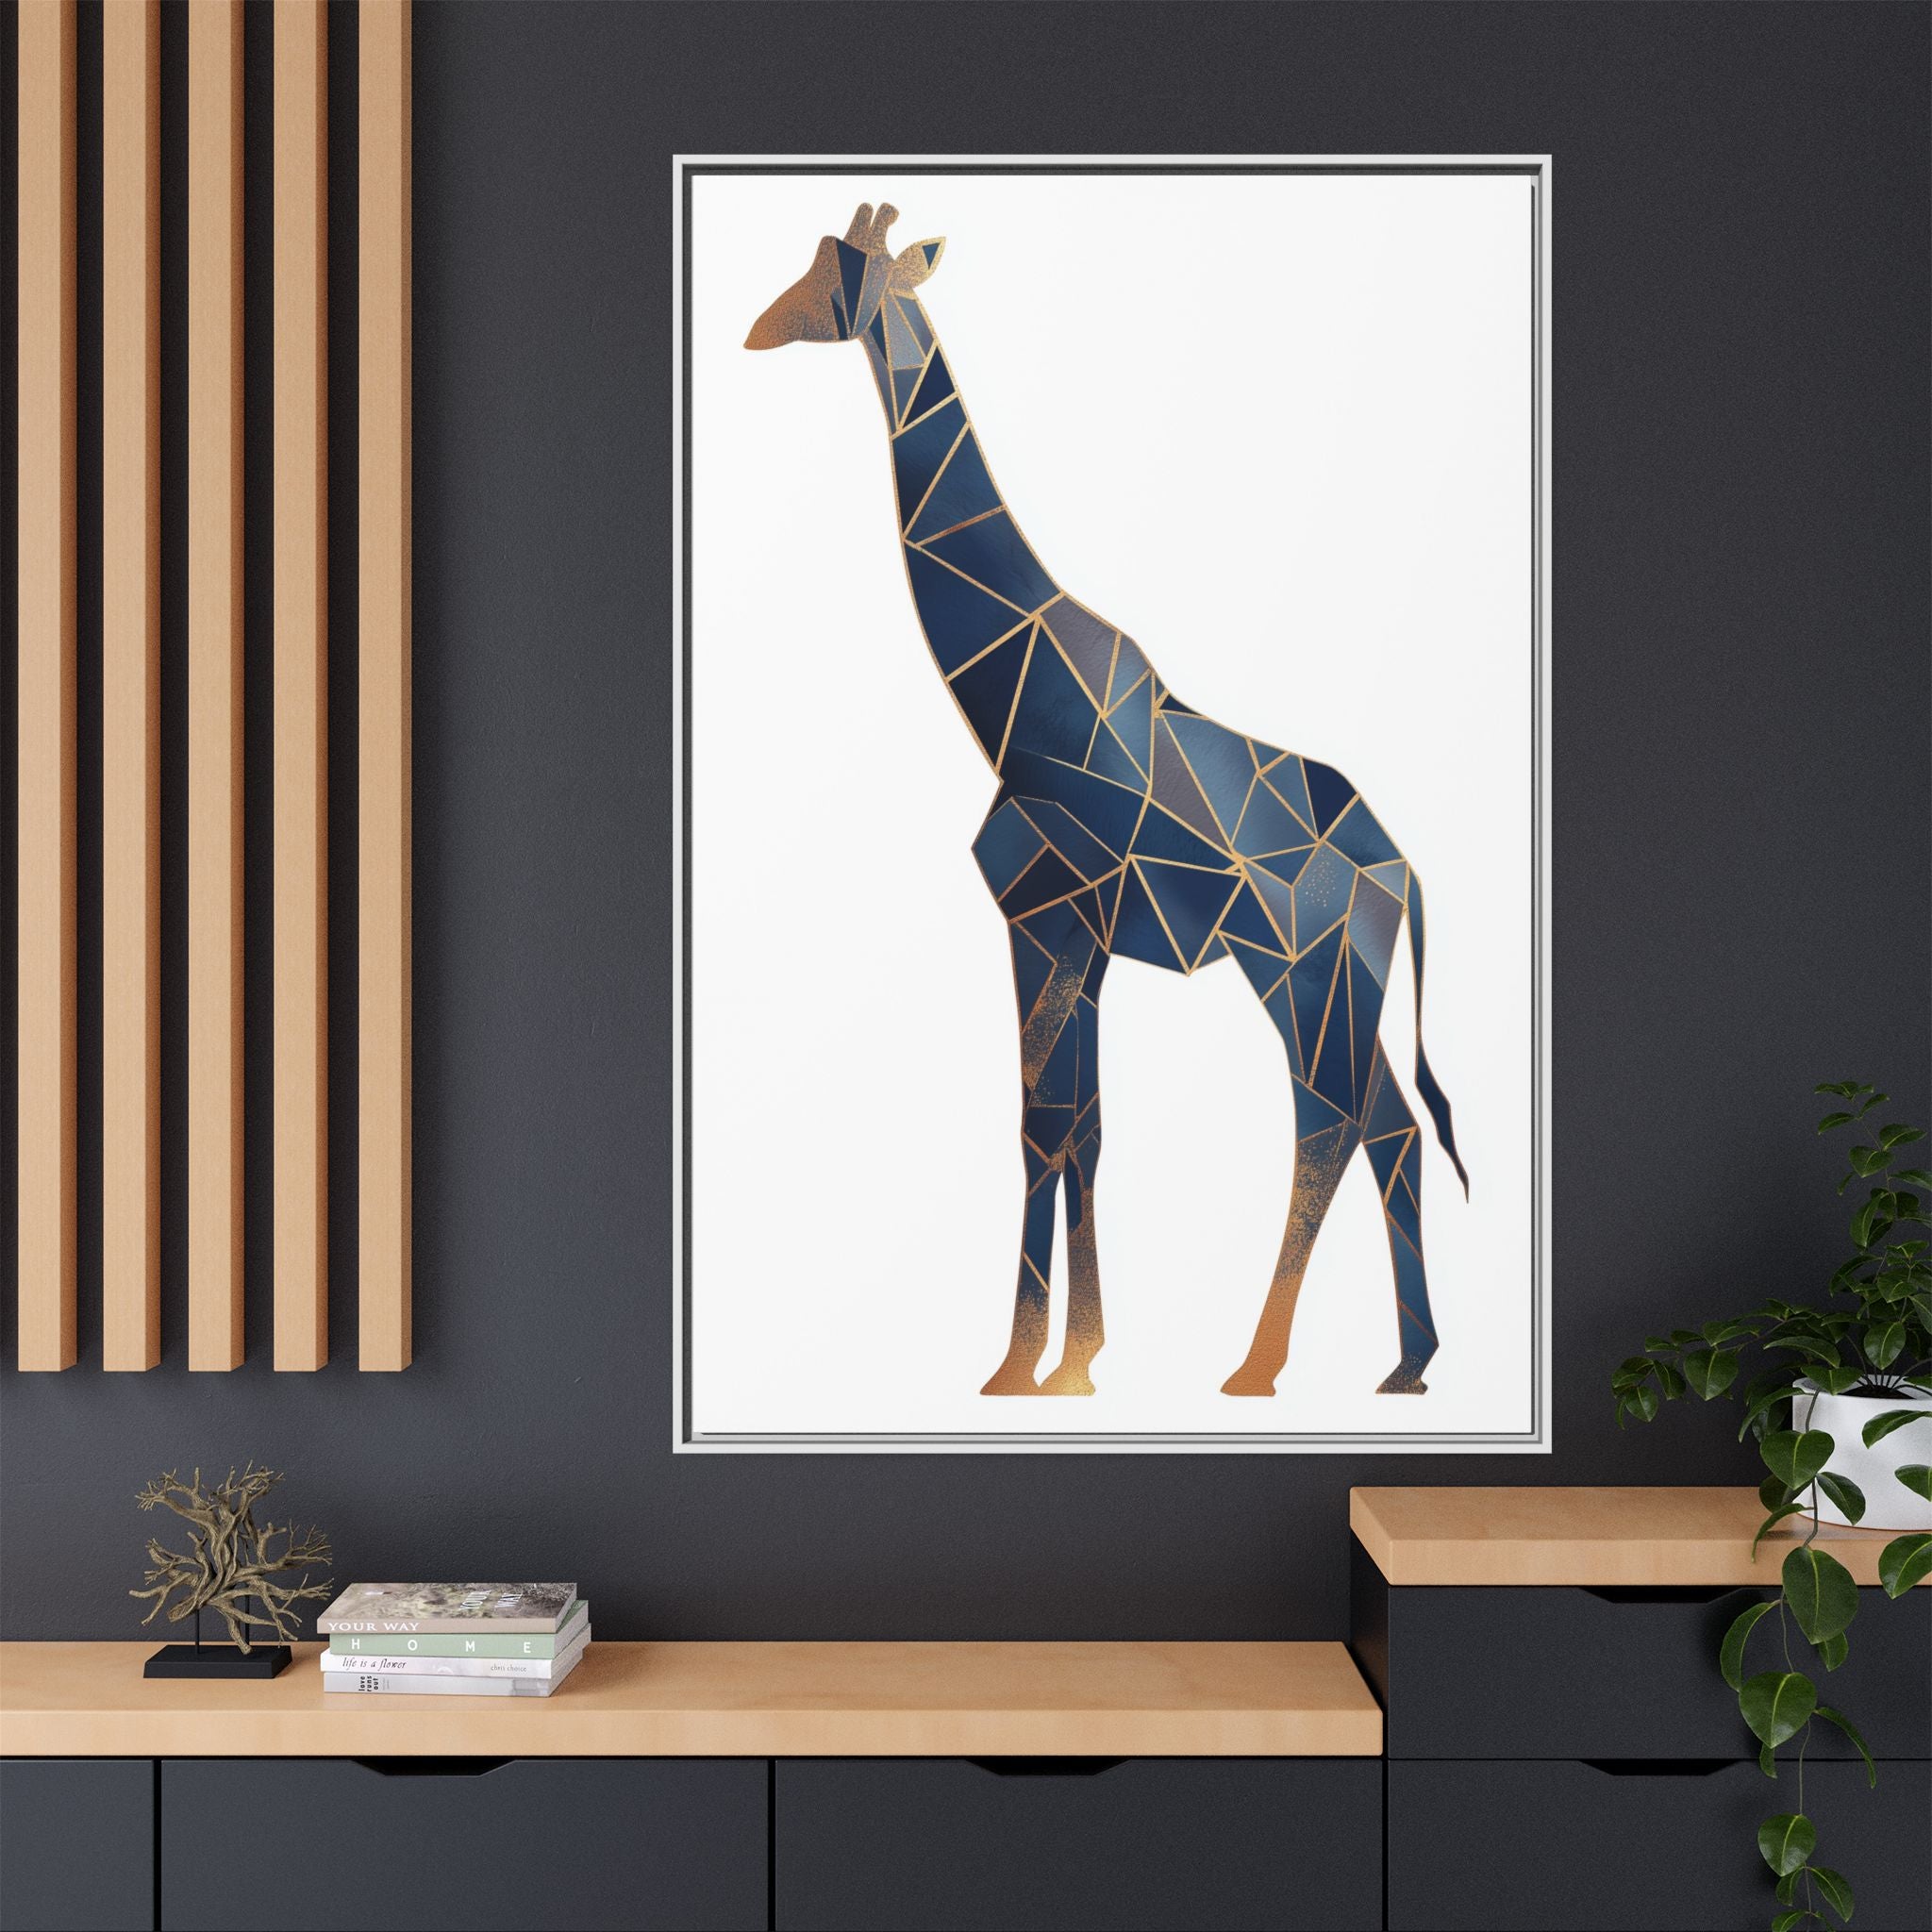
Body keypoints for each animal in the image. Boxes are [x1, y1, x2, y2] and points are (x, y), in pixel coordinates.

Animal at [746, 203, 1468, 1400]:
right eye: (812, 261)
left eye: (841, 275)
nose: (758, 328)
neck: (1012, 700)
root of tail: (1400, 871)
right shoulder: (1068, 937)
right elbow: (1071, 1126)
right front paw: (1053, 1359)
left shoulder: (1048, 919)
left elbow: (1048, 1126)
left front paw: (1039, 1363)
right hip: (1335, 980)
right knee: (1389, 1127)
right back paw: (1404, 1364)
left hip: (1300, 968)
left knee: (1328, 1121)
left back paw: (1258, 1366)